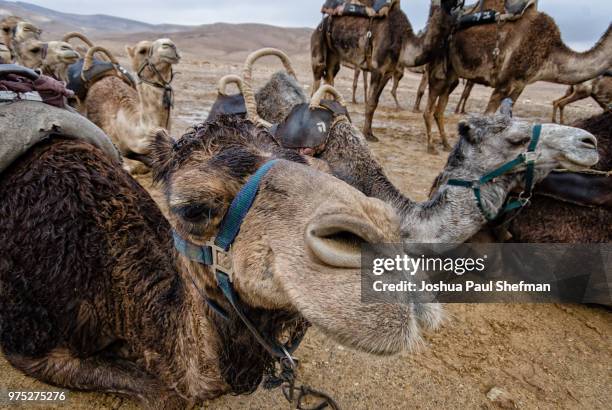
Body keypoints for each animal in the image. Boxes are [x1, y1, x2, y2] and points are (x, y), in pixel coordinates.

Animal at [310, 0, 460, 141]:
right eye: (444, 4)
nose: (454, 16)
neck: (402, 41)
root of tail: (322, 21)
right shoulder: (377, 68)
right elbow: (370, 103)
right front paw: (367, 134)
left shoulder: (388, 72)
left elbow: (375, 102)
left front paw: (371, 133)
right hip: (319, 40)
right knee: (318, 76)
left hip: (334, 55)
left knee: (330, 76)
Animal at [424, 2, 612, 154]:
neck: (549, 54)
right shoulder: (504, 82)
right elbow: (488, 117)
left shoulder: (520, 85)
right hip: (439, 61)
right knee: (431, 102)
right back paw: (431, 146)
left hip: (453, 71)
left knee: (441, 106)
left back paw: (446, 144)